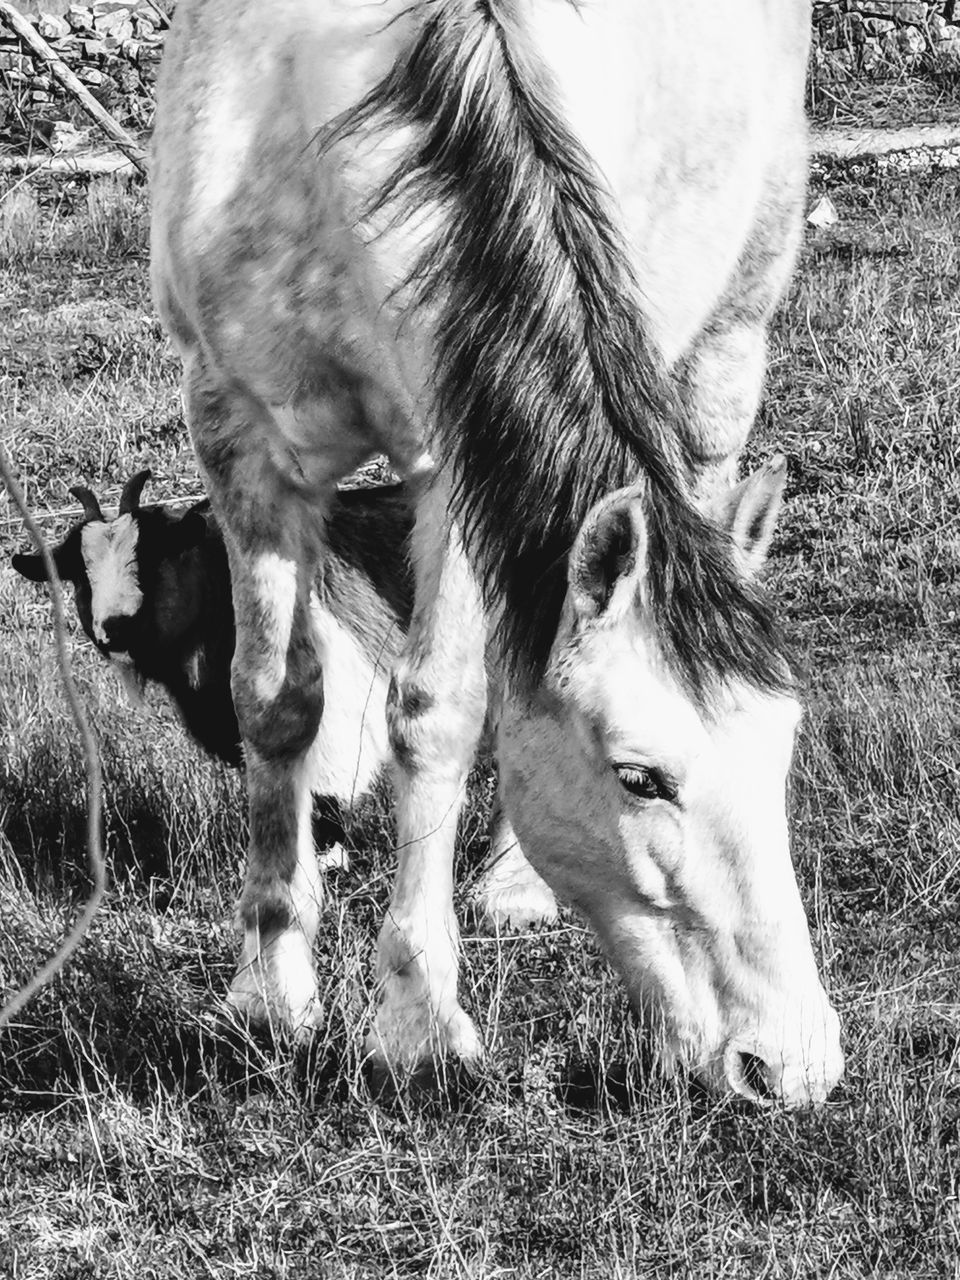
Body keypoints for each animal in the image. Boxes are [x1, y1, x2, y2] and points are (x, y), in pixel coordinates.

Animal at [152, 0, 849, 1105]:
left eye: (782, 748)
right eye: (639, 777)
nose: (792, 1062)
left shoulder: (458, 457)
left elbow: (437, 711)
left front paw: (417, 1020)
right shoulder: (235, 427)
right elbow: (274, 699)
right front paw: (266, 993)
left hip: (728, 343)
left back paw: (515, 883)